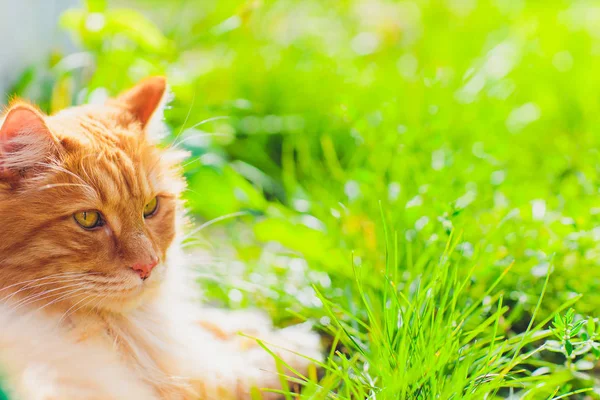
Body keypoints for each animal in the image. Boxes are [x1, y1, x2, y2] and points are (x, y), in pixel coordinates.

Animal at [0, 76, 324, 398]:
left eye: (151, 207)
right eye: (88, 219)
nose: (149, 266)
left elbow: (198, 322)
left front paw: (244, 324)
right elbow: (252, 370)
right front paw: (297, 345)